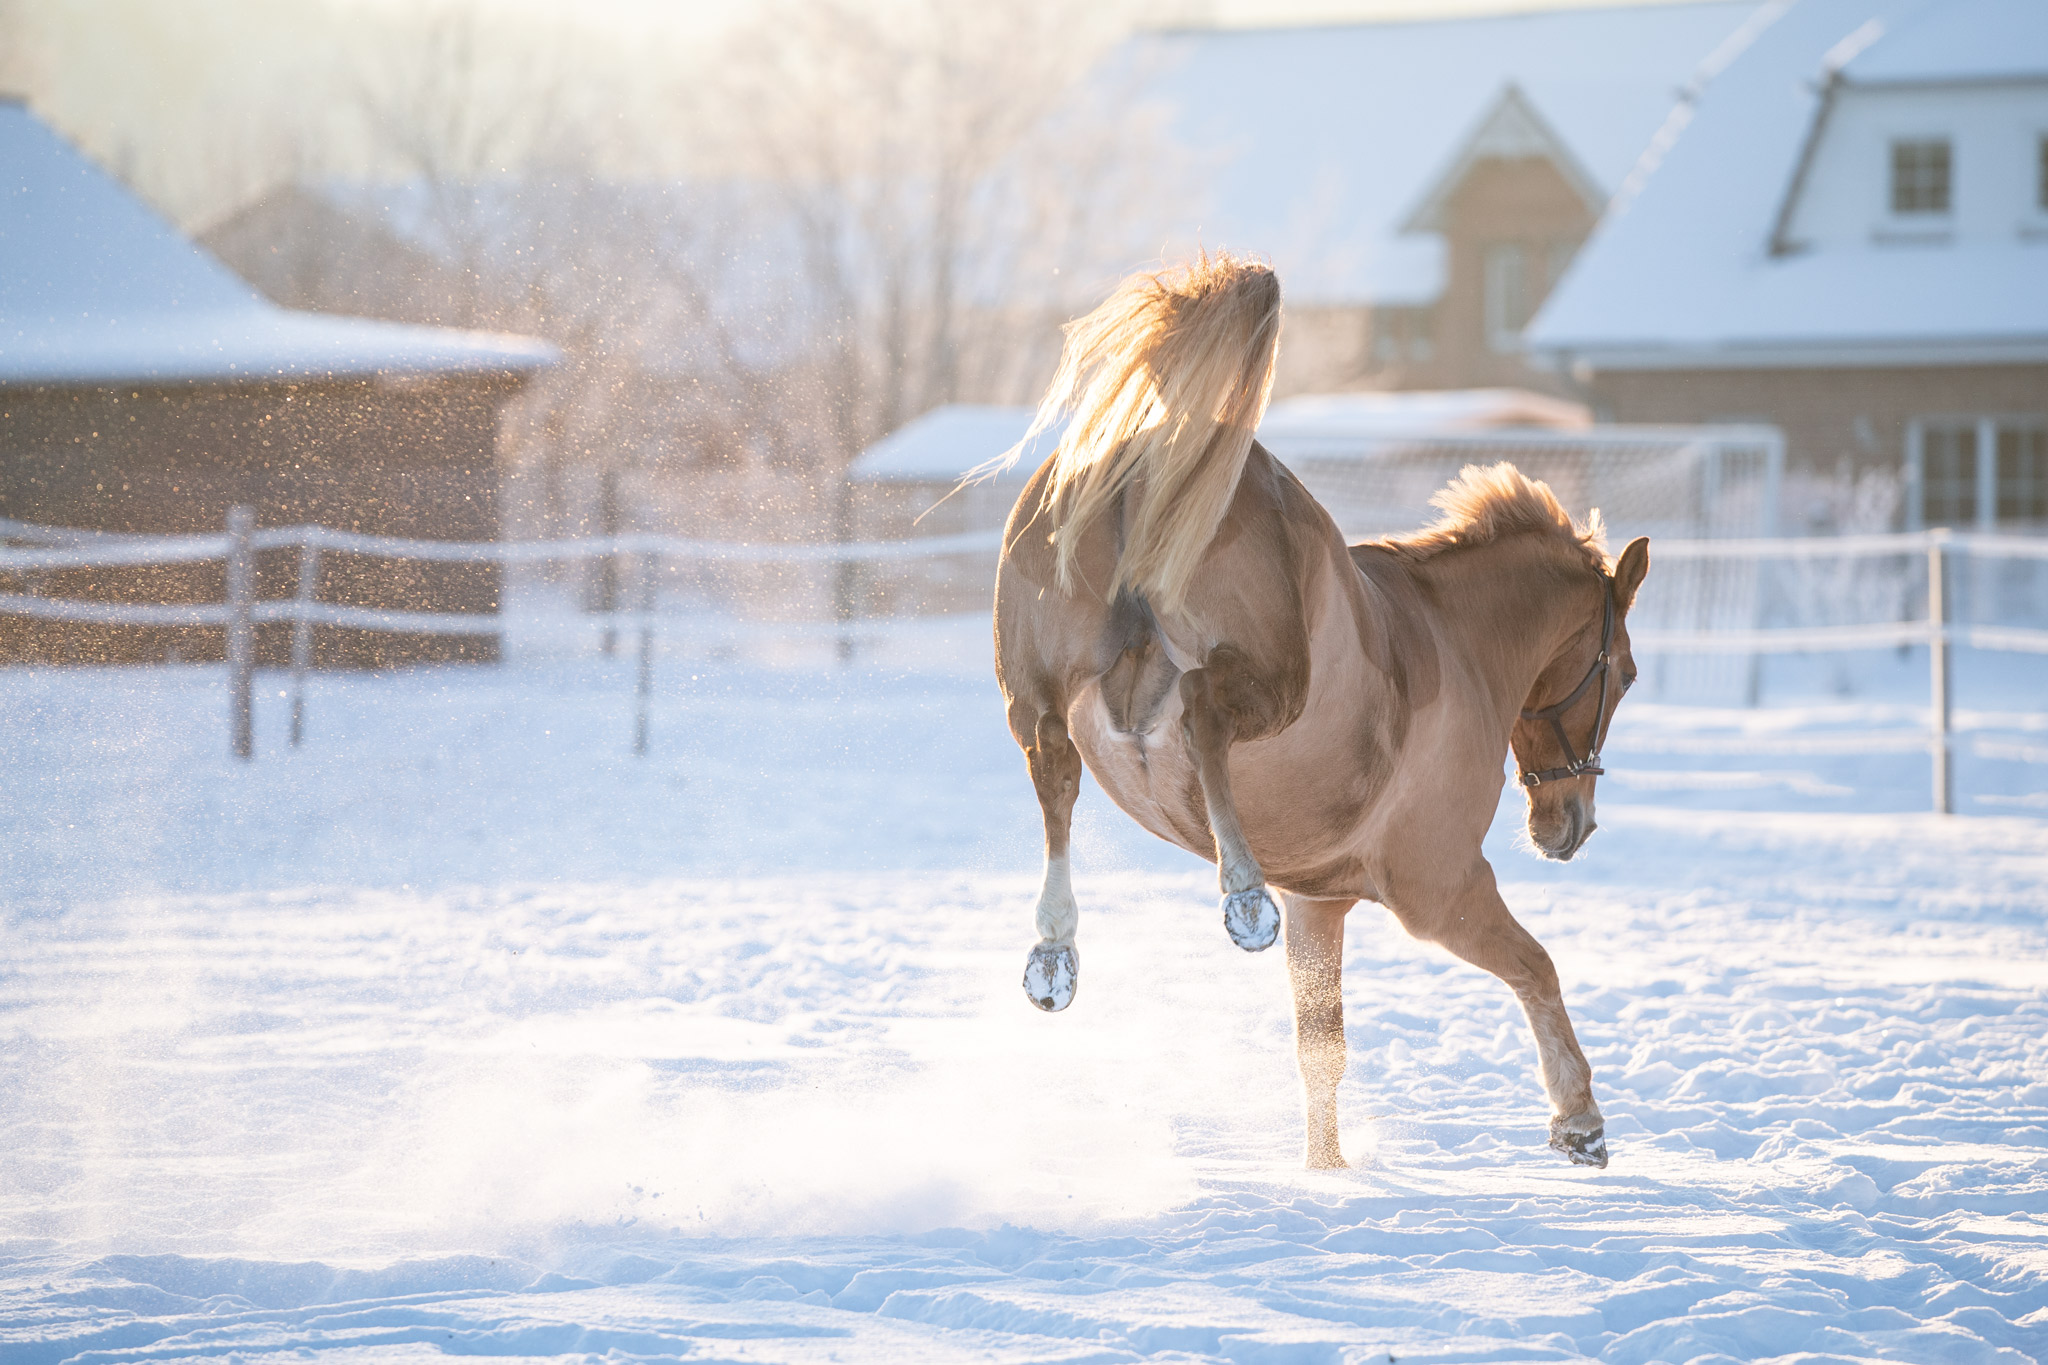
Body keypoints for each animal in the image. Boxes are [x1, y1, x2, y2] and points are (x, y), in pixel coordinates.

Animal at [991, 250, 1646, 1170]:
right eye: (1624, 673)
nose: (1570, 825)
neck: (1453, 638)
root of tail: (1159, 448)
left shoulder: (1320, 902)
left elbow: (1320, 1048)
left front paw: (1324, 1170)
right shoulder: (1439, 885)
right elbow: (1536, 967)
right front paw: (1579, 1120)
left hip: (1038, 687)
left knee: (1055, 761)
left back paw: (1055, 952)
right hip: (1271, 678)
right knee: (1199, 710)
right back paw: (1238, 896)